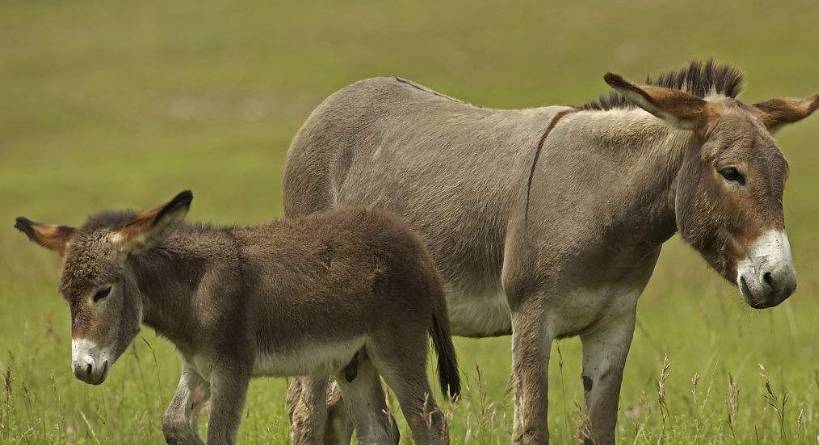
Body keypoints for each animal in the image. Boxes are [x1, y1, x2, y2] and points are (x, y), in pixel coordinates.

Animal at [14, 191, 462, 444]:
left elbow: (218, 436)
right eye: (67, 297)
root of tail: (414, 244)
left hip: (396, 346)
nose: (82, 369)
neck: (195, 288)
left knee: (430, 423)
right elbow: (173, 422)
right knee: (378, 432)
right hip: (355, 361)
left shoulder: (232, 367)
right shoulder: (197, 366)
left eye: (102, 292)